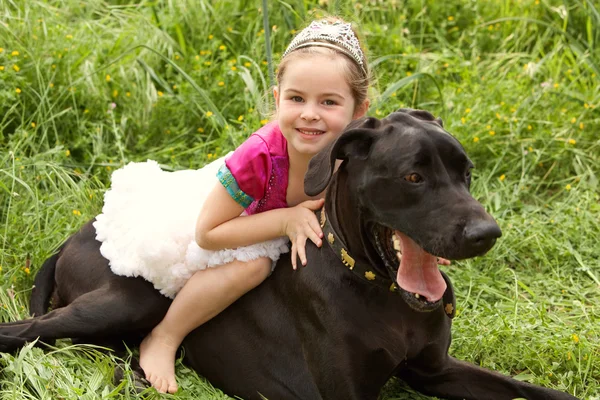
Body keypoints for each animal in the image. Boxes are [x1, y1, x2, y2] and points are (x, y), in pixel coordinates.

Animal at [0, 109, 576, 400]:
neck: (378, 288)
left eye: (466, 172)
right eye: (414, 176)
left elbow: (534, 392)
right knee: (25, 331)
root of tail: (76, 233)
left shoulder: (435, 370)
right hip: (131, 299)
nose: (487, 233)